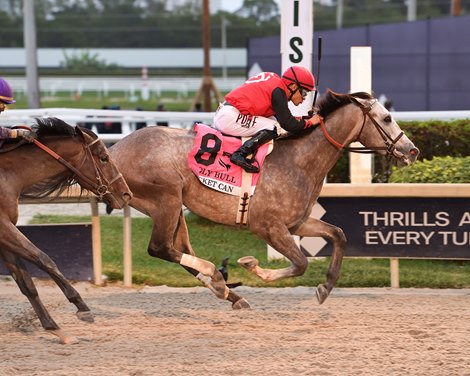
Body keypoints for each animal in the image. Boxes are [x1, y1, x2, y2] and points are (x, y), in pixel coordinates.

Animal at [1, 118, 132, 344]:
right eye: (104, 157)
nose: (126, 194)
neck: (7, 175)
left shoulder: (4, 234)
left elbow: (27, 284)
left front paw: (55, 328)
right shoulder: (3, 227)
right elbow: (44, 259)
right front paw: (82, 307)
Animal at [110, 90, 418, 308]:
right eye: (387, 118)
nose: (411, 150)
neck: (299, 160)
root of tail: (114, 151)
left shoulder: (296, 223)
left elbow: (338, 235)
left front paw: (326, 286)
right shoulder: (268, 226)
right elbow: (301, 263)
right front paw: (254, 268)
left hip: (174, 209)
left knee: (181, 252)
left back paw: (227, 292)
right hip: (166, 200)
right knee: (160, 248)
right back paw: (218, 278)